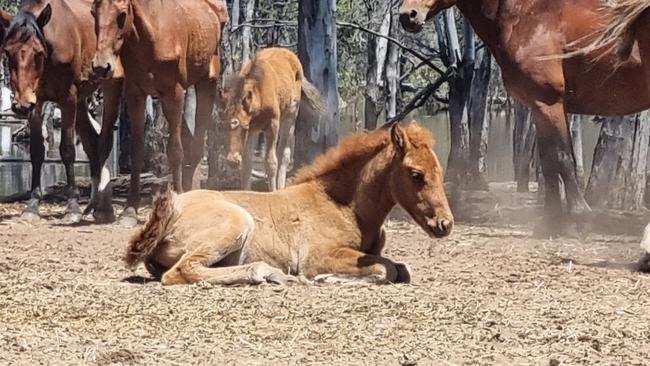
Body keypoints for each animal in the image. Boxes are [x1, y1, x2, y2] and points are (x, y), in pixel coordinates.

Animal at [90, 0, 228, 226]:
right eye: (93, 12)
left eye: (122, 14)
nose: (101, 66)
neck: (150, 37)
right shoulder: (135, 93)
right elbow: (137, 151)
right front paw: (130, 210)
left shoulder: (174, 93)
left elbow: (175, 150)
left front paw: (179, 197)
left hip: (207, 82)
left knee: (198, 143)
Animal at [125, 121, 450, 284]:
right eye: (416, 174)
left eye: (439, 170)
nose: (444, 224)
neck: (346, 207)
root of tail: (171, 211)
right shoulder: (318, 256)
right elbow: (386, 270)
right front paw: (327, 279)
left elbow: (401, 269)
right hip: (236, 223)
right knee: (182, 271)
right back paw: (267, 273)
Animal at [219, 47, 324, 190]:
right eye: (224, 126)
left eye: (244, 127)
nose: (232, 160)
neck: (260, 94)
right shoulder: (254, 128)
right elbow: (247, 163)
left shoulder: (271, 125)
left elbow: (270, 162)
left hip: (290, 116)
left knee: (283, 154)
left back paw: (280, 187)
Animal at [398, 0, 648, 234]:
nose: (407, 15)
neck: (528, 17)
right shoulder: (539, 108)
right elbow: (549, 162)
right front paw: (552, 223)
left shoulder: (549, 103)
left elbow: (562, 158)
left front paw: (579, 217)